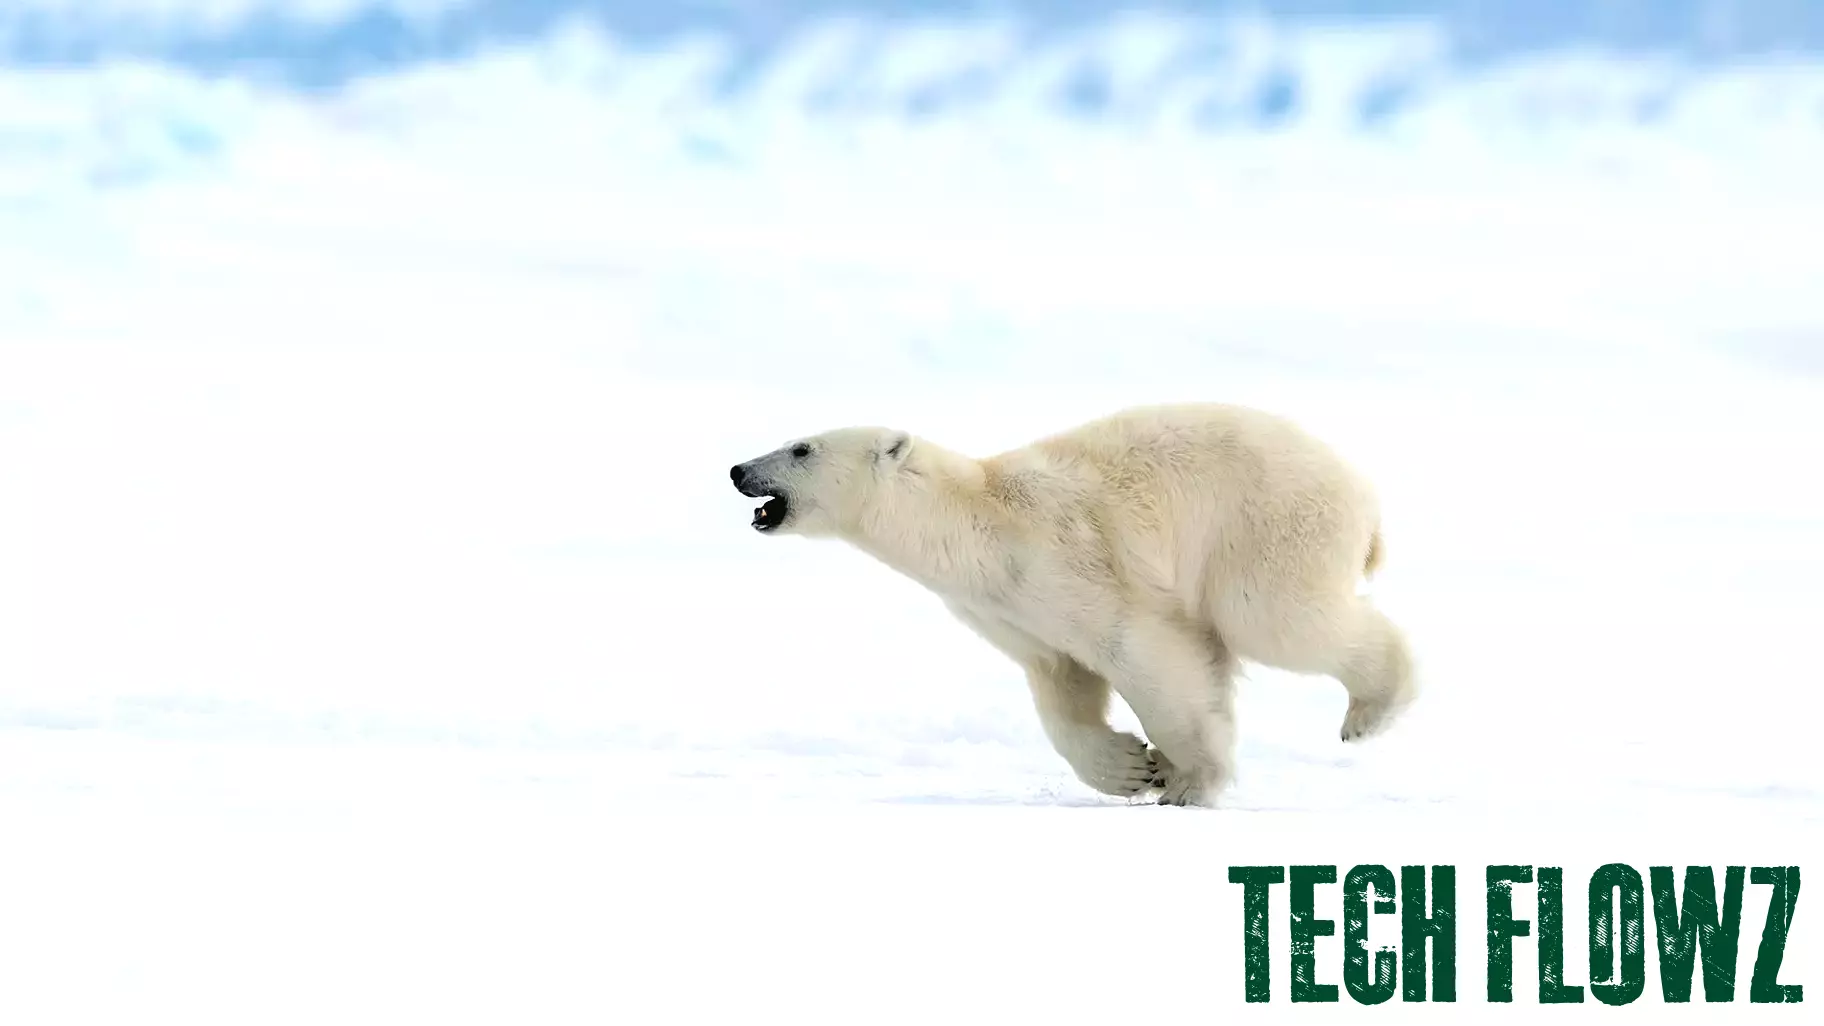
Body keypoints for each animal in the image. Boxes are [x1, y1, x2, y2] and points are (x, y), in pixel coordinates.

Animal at [728, 402, 1415, 807]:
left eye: (800, 448)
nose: (738, 470)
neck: (976, 524)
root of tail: (1366, 502)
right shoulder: (1008, 609)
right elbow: (1062, 684)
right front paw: (1134, 768)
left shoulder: (1068, 562)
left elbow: (1145, 653)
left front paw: (1190, 780)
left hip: (1266, 525)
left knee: (1276, 617)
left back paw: (1370, 711)